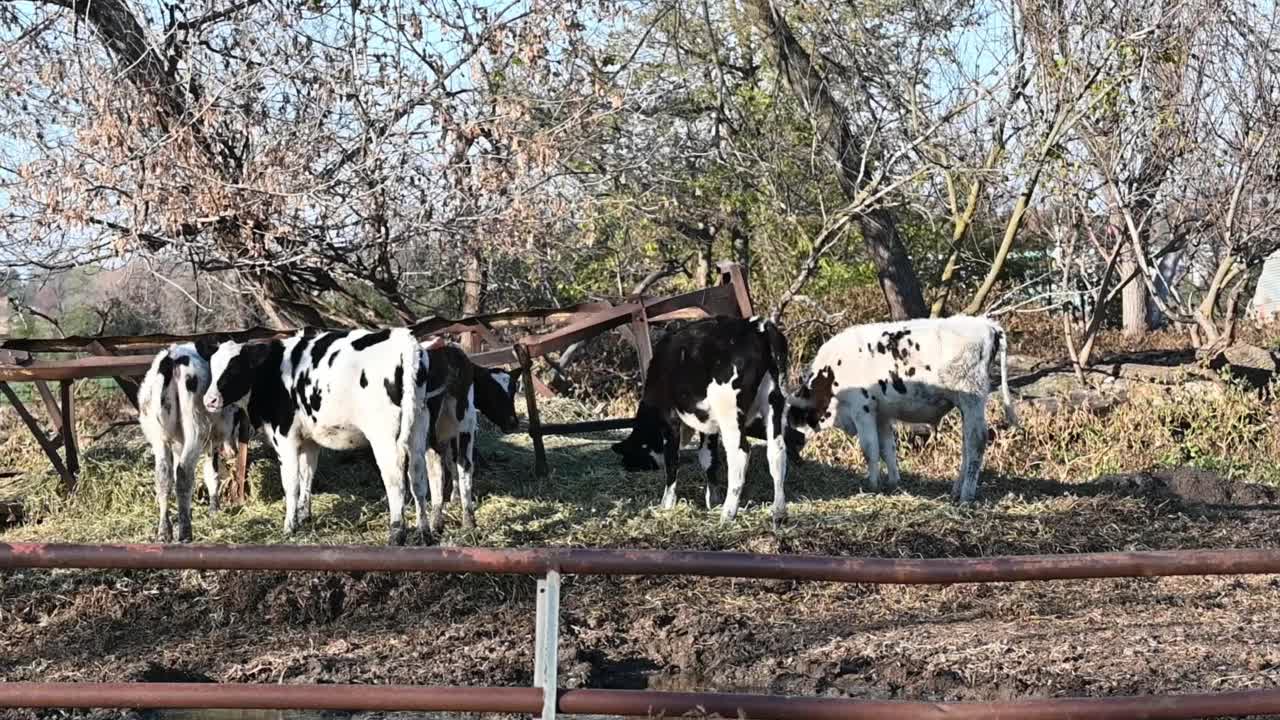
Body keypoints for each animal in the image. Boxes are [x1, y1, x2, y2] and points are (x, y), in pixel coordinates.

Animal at [138, 340, 250, 538]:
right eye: (237, 415)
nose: (233, 451)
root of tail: (172, 358)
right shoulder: (211, 442)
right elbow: (211, 474)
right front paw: (214, 509)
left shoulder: (178, 443)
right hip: (196, 431)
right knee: (184, 472)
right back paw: (184, 531)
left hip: (159, 437)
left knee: (164, 476)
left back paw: (164, 530)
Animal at [200, 326, 435, 543]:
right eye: (213, 367)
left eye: (234, 369)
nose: (209, 400)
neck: (273, 371)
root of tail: (404, 340)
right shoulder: (309, 441)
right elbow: (307, 476)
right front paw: (304, 517)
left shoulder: (285, 438)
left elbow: (291, 484)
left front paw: (289, 526)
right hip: (418, 429)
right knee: (418, 480)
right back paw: (424, 532)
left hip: (385, 437)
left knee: (396, 481)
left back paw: (397, 533)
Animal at [609, 316, 788, 525]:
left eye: (632, 456)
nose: (628, 467)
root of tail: (756, 326)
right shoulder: (707, 424)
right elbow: (707, 457)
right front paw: (713, 499)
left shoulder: (670, 418)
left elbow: (672, 459)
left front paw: (667, 504)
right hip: (773, 403)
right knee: (777, 451)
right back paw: (778, 512)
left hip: (729, 412)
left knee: (740, 454)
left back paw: (728, 514)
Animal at [783, 313, 1013, 499]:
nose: (795, 461)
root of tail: (986, 324)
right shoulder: (881, 414)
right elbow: (888, 449)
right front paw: (893, 483)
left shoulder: (862, 409)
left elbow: (870, 449)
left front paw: (872, 485)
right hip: (966, 406)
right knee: (967, 443)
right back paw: (956, 490)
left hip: (972, 399)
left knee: (977, 441)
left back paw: (966, 495)